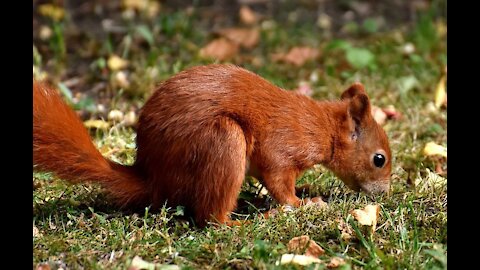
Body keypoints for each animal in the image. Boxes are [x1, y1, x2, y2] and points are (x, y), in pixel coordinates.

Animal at [34, 64, 394, 227]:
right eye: (379, 159)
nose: (385, 193)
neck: (321, 127)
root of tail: (153, 177)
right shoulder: (281, 148)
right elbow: (279, 182)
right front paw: (304, 203)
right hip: (223, 141)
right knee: (211, 216)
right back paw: (246, 221)